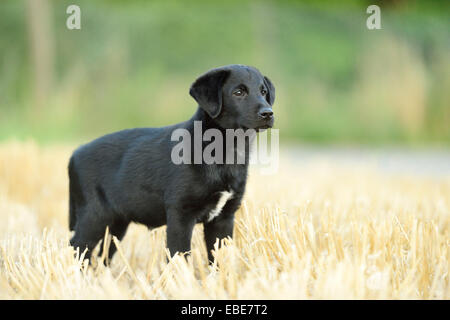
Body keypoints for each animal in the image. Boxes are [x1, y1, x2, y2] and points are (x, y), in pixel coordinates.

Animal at [69, 64, 276, 262]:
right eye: (238, 92)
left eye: (263, 91)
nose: (268, 113)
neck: (223, 151)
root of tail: (75, 153)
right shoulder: (181, 214)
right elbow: (180, 255)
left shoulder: (223, 218)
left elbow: (218, 259)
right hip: (94, 216)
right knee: (78, 247)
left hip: (117, 223)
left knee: (102, 254)